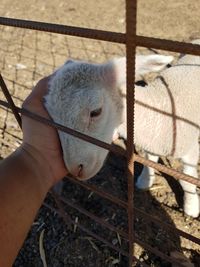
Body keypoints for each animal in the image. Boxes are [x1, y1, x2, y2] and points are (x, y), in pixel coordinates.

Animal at [44, 47, 200, 220]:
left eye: (96, 112)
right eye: (51, 115)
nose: (75, 170)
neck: (160, 110)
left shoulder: (191, 149)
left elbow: (188, 179)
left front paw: (192, 207)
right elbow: (149, 160)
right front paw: (145, 181)